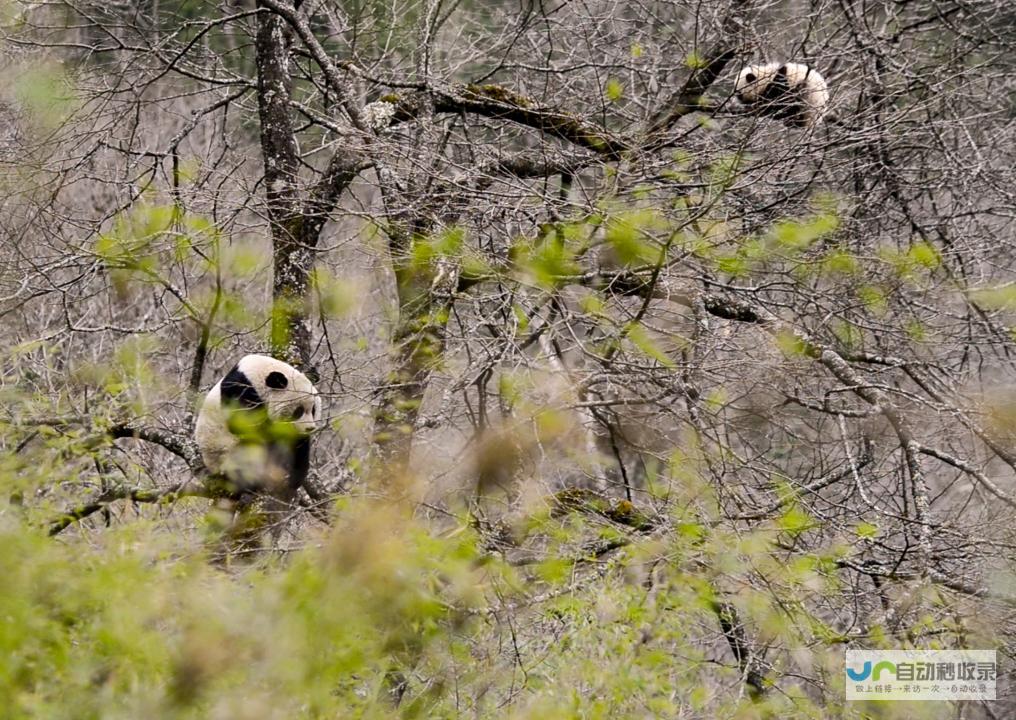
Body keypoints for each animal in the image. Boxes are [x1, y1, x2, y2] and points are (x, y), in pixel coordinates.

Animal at [194, 353, 321, 497]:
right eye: (298, 411)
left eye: (313, 410)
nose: (309, 428)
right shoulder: (240, 392)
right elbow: (246, 427)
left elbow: (298, 446)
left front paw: (294, 477)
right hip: (223, 453)